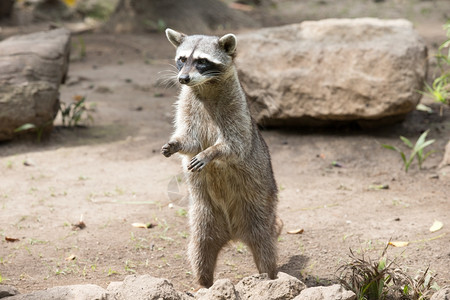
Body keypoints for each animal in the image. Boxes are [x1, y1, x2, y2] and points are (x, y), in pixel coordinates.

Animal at [162, 28, 282, 288]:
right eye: (182, 59)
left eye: (202, 62)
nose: (183, 79)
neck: (205, 86)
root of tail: (233, 233)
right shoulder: (187, 104)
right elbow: (189, 140)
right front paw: (175, 143)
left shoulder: (237, 107)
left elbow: (236, 145)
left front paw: (211, 152)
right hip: (203, 217)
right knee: (200, 250)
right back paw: (204, 285)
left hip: (260, 208)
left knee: (265, 247)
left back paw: (269, 279)